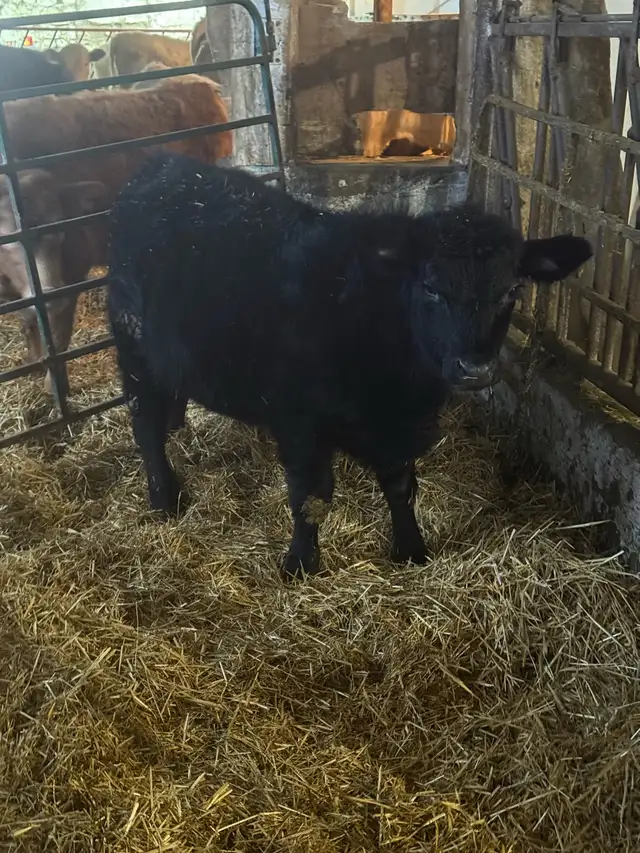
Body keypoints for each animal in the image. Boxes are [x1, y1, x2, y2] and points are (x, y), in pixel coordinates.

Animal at [0, 77, 232, 396]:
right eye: (8, 236)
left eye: (59, 228)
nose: (49, 292)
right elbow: (28, 320)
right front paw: (34, 361)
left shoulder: (74, 265)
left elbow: (59, 332)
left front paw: (54, 385)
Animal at [106, 152, 593, 580]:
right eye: (431, 287)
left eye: (512, 291)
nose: (475, 368)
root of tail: (164, 165)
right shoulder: (299, 423)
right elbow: (311, 497)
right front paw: (300, 564)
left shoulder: (398, 430)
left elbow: (401, 488)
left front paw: (411, 550)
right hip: (133, 349)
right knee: (143, 423)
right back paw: (164, 496)